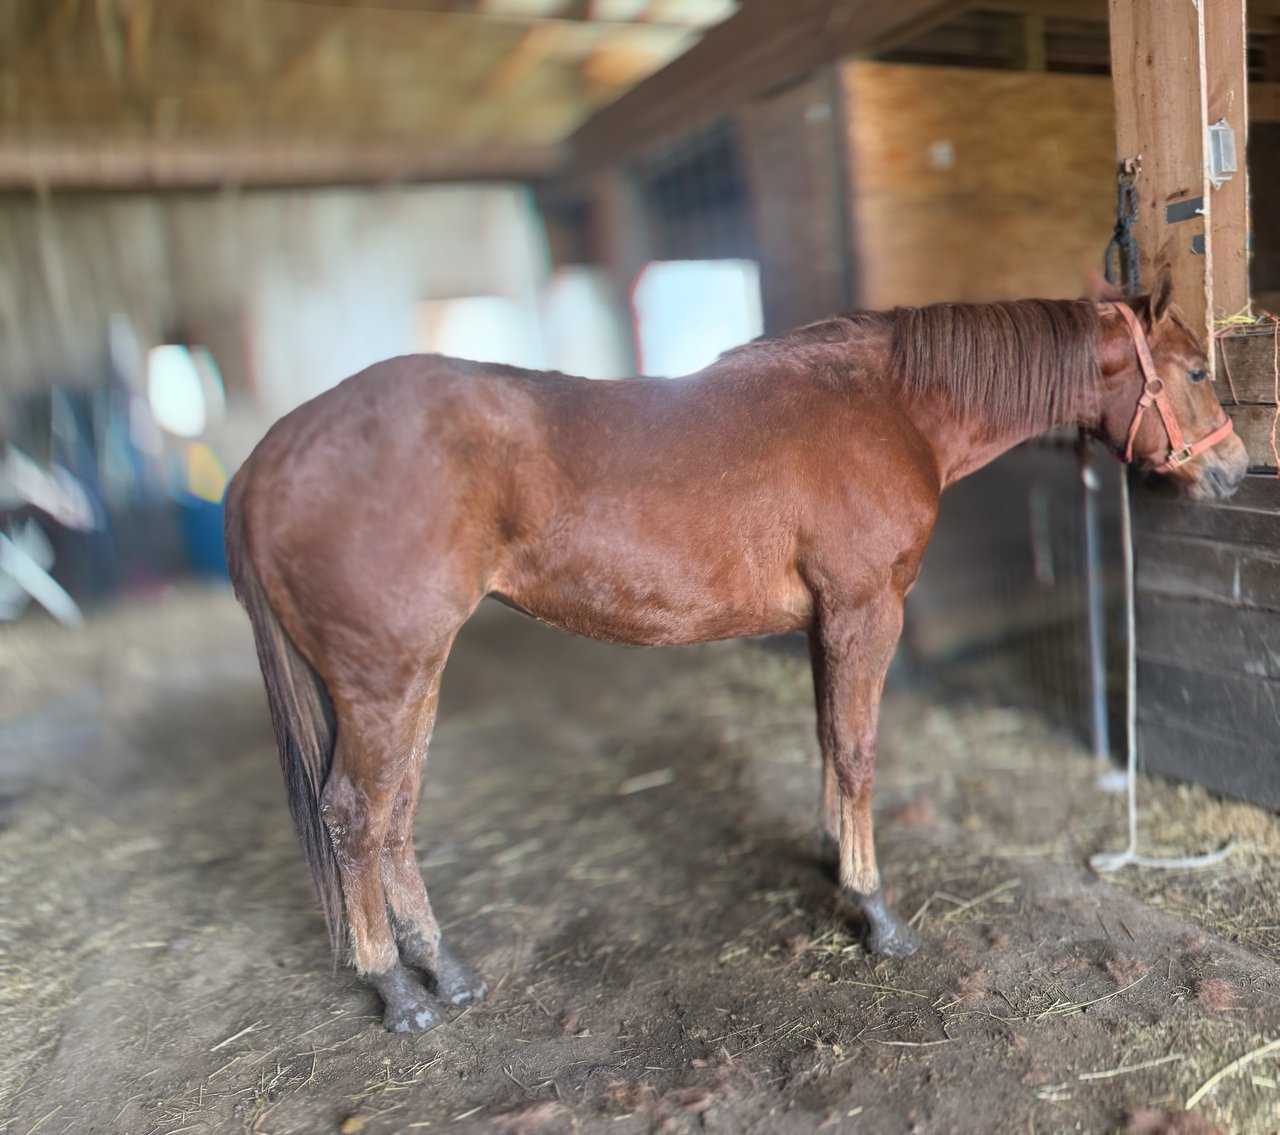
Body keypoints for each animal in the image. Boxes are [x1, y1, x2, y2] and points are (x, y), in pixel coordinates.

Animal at [224, 268, 1247, 1033]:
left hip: (412, 679)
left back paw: (447, 970)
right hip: (385, 679)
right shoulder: (866, 612)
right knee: (355, 814)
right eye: (1196, 369)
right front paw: (876, 912)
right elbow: (858, 750)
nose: (1235, 473)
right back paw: (396, 991)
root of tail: (268, 459)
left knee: (394, 813)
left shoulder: (826, 622)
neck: (893, 407)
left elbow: (827, 742)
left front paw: (834, 861)